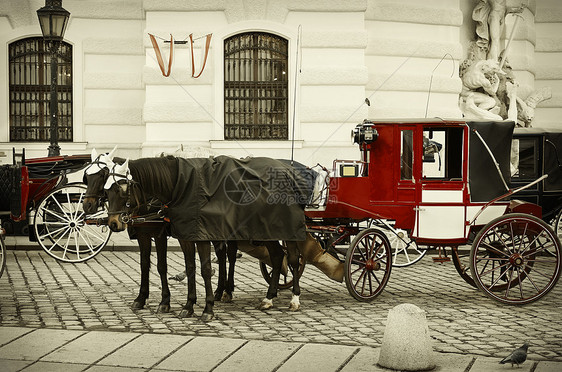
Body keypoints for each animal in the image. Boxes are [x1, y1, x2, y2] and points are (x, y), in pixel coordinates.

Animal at [100, 155, 302, 316]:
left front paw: (206, 308)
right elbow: (186, 267)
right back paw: (268, 297)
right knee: (277, 256)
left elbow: (201, 270)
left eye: (122, 190)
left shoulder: (181, 235)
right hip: (267, 231)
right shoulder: (182, 236)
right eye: (106, 191)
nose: (113, 223)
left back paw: (294, 298)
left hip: (285, 230)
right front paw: (188, 305)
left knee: (292, 260)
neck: (179, 187)